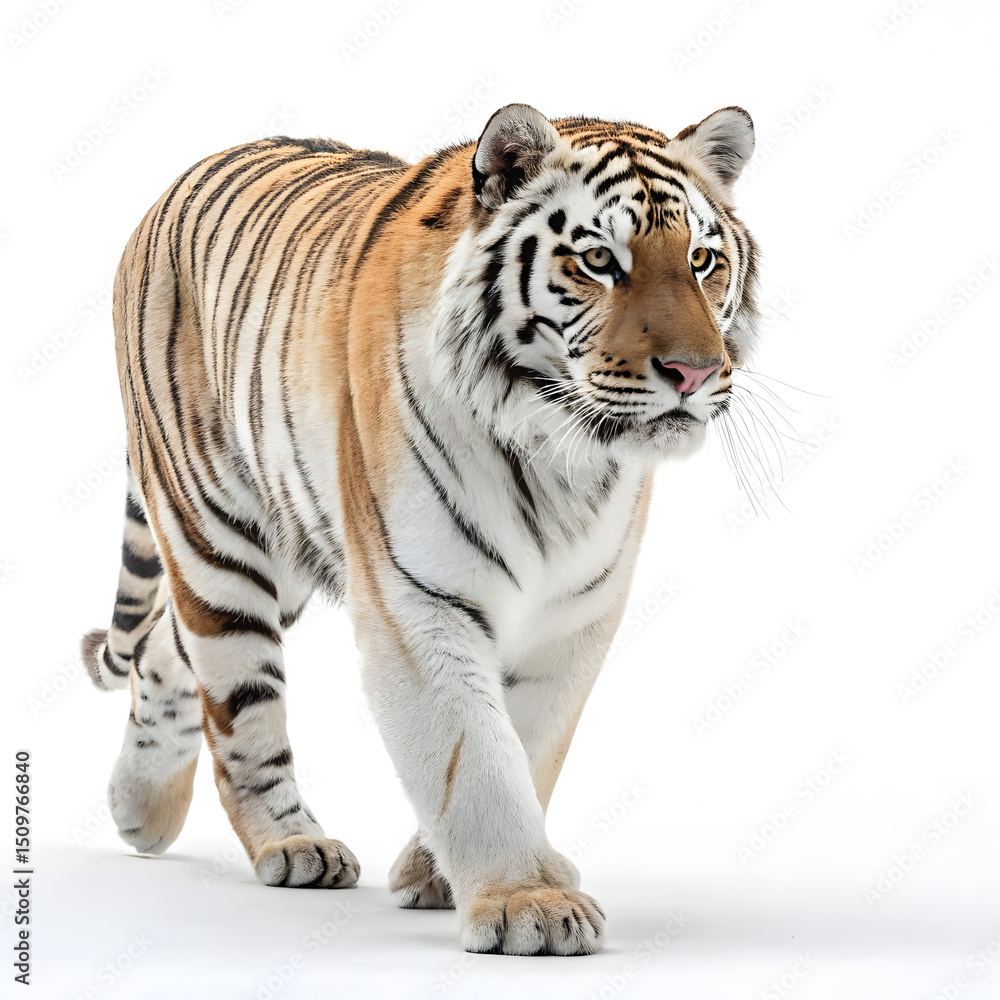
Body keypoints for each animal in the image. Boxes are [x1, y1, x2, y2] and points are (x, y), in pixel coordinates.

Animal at [82, 102, 760, 956]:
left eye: (703, 260)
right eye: (599, 260)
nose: (696, 373)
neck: (559, 453)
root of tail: (179, 181)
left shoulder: (576, 614)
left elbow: (531, 742)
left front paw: (440, 875)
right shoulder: (416, 596)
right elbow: (471, 756)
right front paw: (527, 902)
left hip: (292, 542)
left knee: (168, 649)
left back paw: (137, 810)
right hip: (217, 529)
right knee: (236, 698)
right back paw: (290, 843)